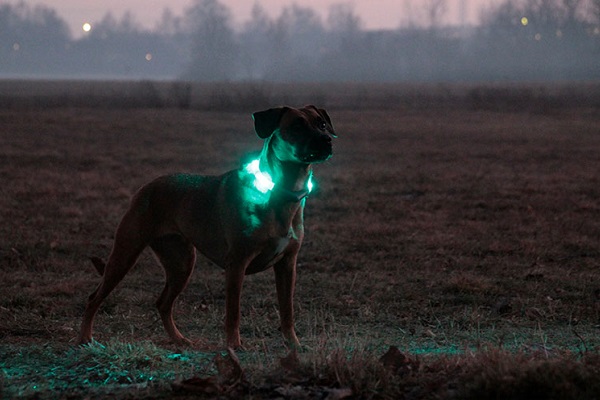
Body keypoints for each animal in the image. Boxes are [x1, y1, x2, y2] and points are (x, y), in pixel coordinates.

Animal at [77, 104, 336, 348]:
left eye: (322, 123)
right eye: (296, 126)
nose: (327, 140)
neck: (279, 190)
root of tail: (147, 186)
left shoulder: (287, 265)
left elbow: (287, 310)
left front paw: (293, 344)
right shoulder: (237, 264)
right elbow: (233, 312)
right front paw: (234, 346)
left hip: (181, 262)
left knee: (163, 303)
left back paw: (179, 339)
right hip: (125, 254)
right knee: (94, 298)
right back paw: (85, 338)